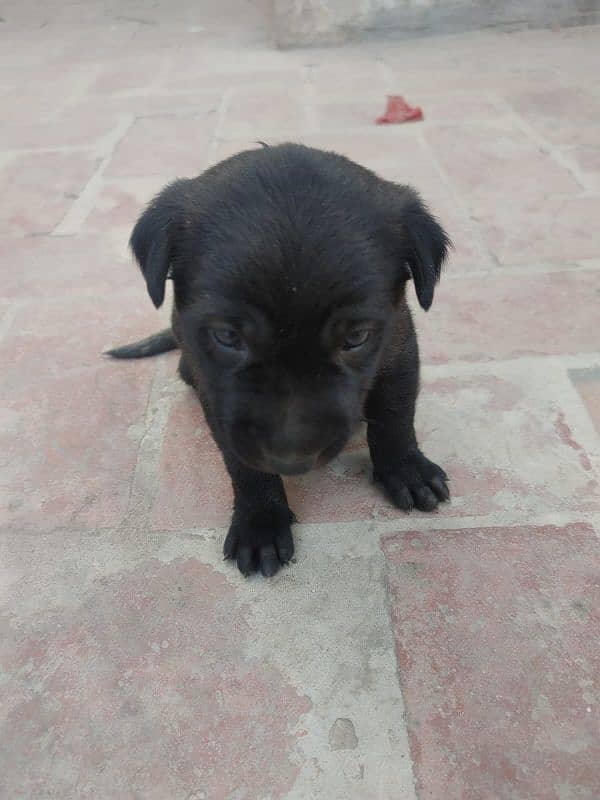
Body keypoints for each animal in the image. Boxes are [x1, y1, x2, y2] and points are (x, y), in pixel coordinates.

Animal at [109, 144, 450, 580]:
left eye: (356, 338)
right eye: (227, 336)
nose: (291, 459)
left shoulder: (399, 348)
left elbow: (395, 417)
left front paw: (406, 469)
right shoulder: (219, 400)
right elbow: (244, 465)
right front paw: (261, 521)